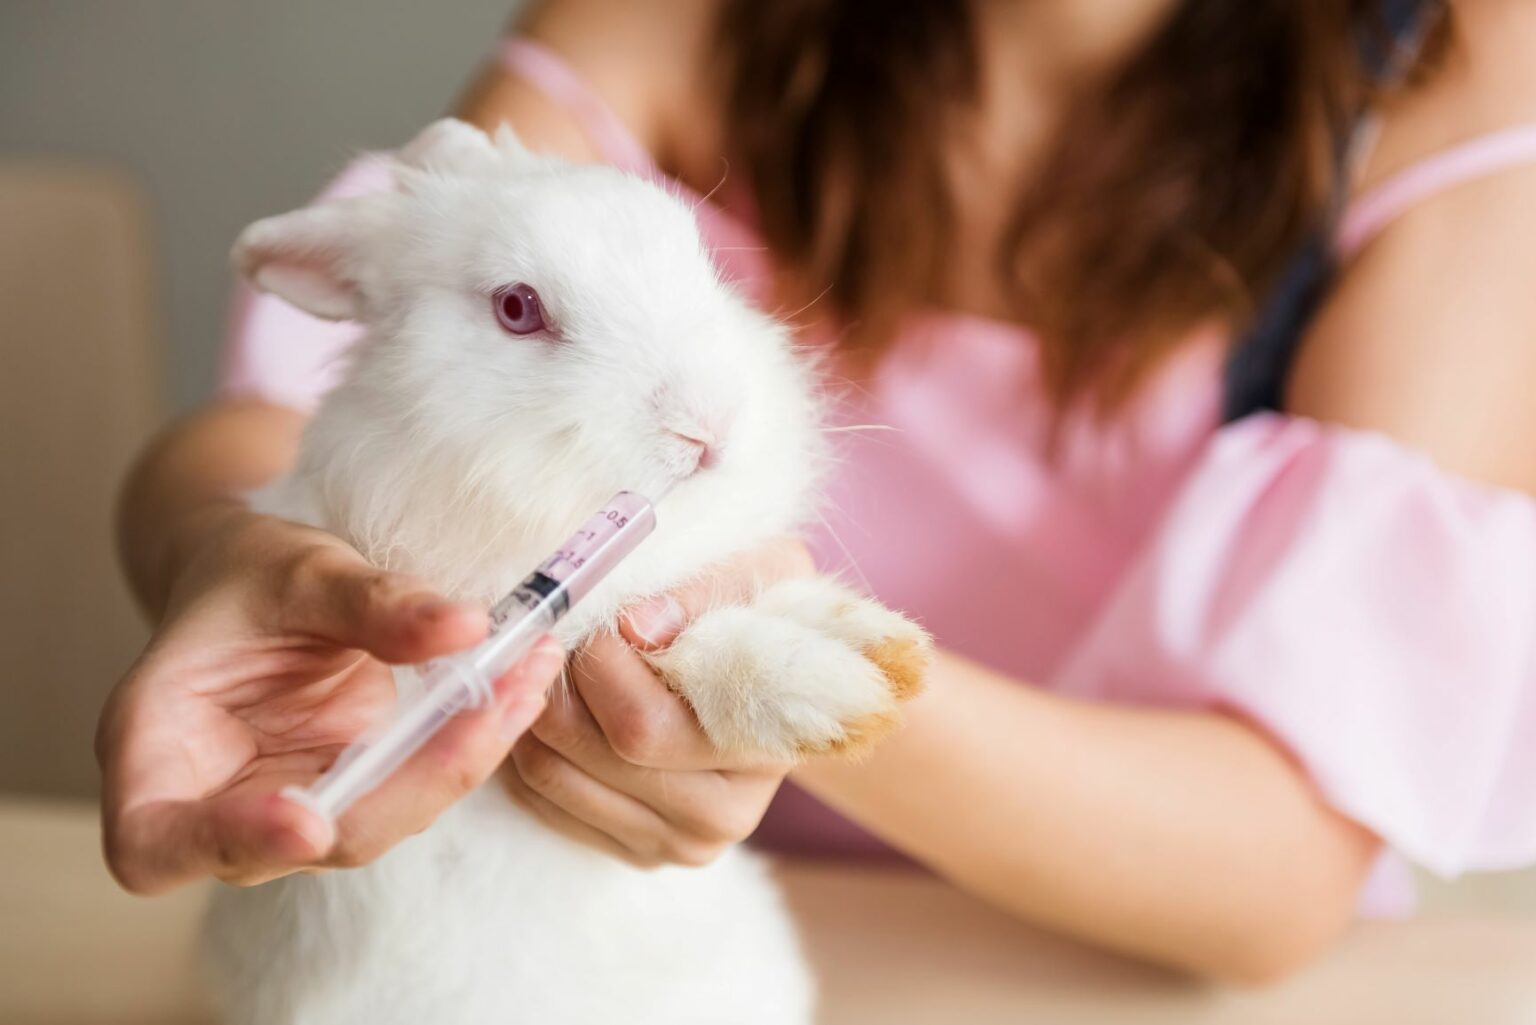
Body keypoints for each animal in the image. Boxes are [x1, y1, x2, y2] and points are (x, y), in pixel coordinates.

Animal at [201, 118, 932, 1025]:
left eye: (695, 254)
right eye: (518, 309)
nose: (711, 424)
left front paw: (880, 650)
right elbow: (664, 640)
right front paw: (829, 694)